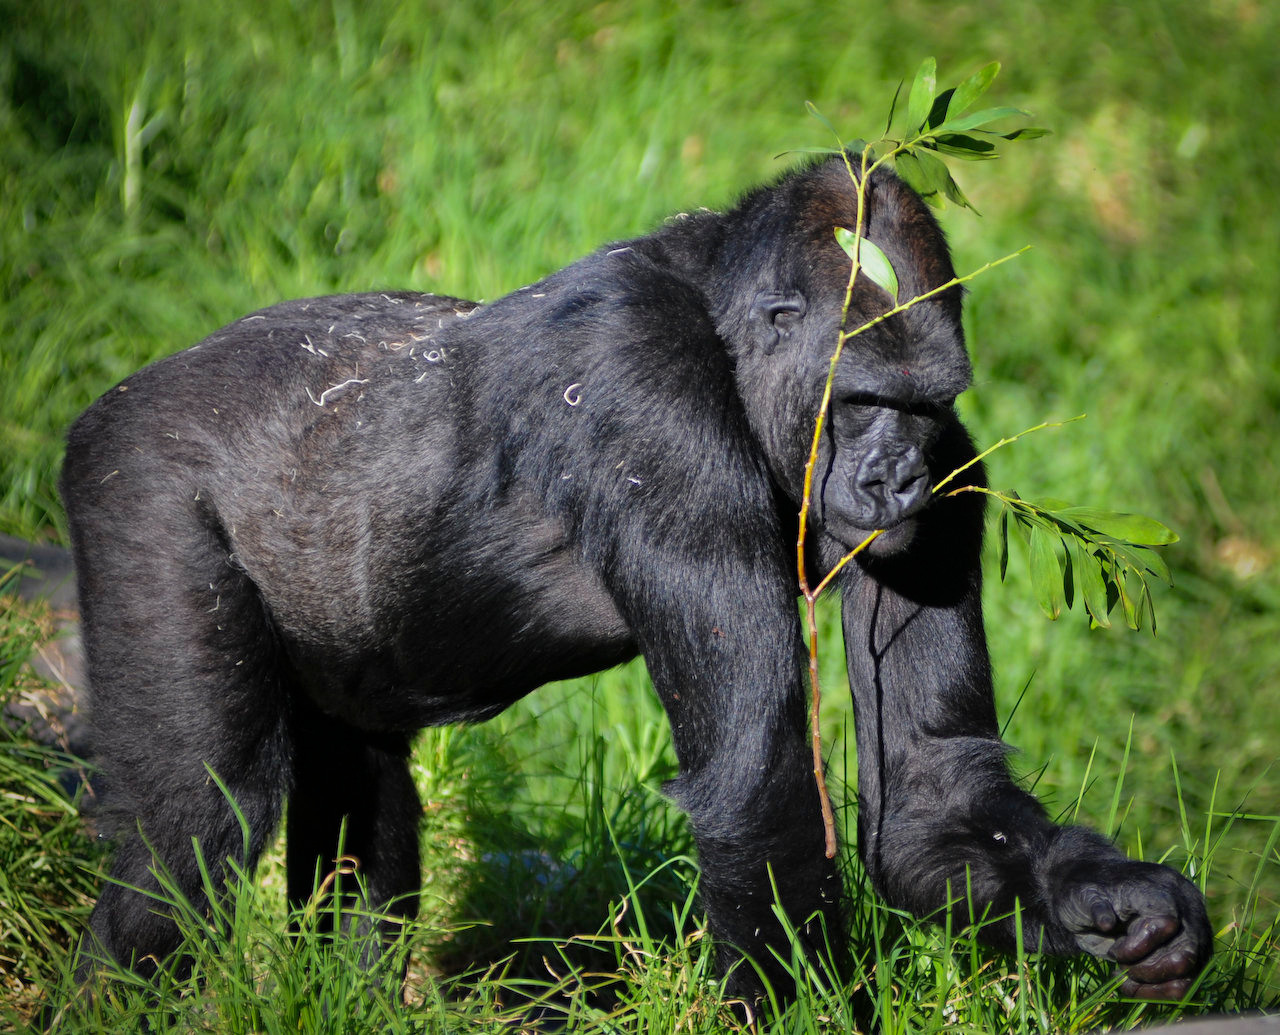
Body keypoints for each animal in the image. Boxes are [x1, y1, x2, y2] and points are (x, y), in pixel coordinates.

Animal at [62, 157, 1208, 1003]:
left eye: (923, 409)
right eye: (864, 400)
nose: (897, 479)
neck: (720, 320)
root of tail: (115, 398)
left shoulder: (957, 466)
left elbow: (929, 794)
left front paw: (1112, 905)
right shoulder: (648, 396)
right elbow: (757, 789)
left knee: (361, 793)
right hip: (135, 482)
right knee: (189, 829)